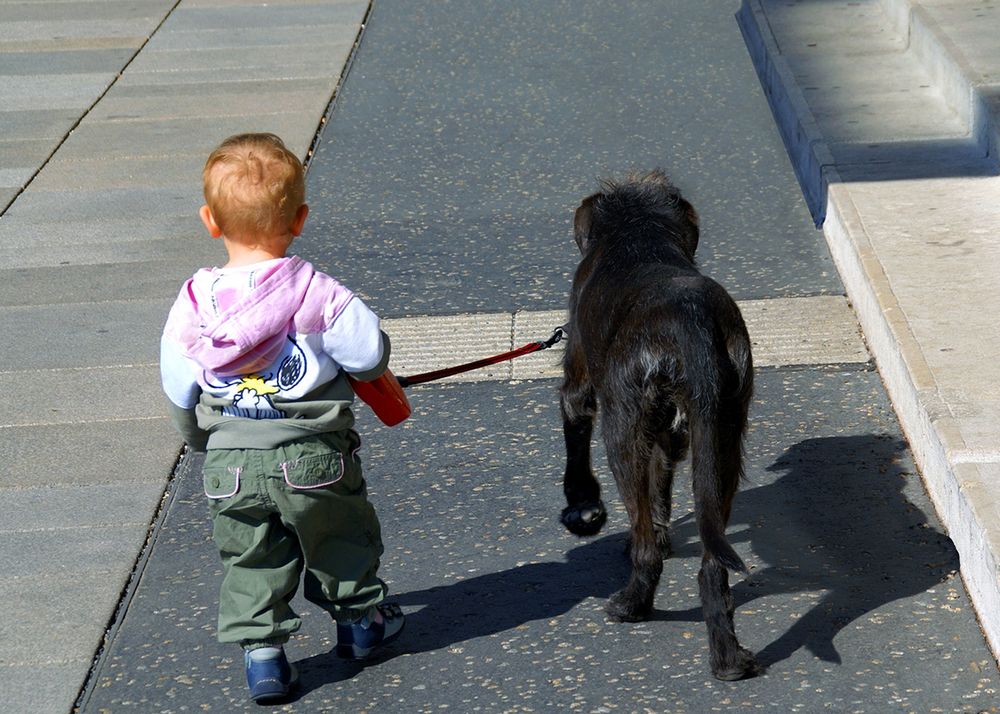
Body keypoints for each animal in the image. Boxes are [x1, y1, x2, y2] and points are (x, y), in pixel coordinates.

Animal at [560, 168, 760, 680]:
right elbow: (662, 487)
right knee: (712, 562)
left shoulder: (580, 387)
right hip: (723, 436)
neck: (639, 233)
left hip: (622, 431)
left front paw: (581, 509)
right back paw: (728, 658)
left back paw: (632, 603)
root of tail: (690, 322)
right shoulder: (675, 432)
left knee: (644, 542)